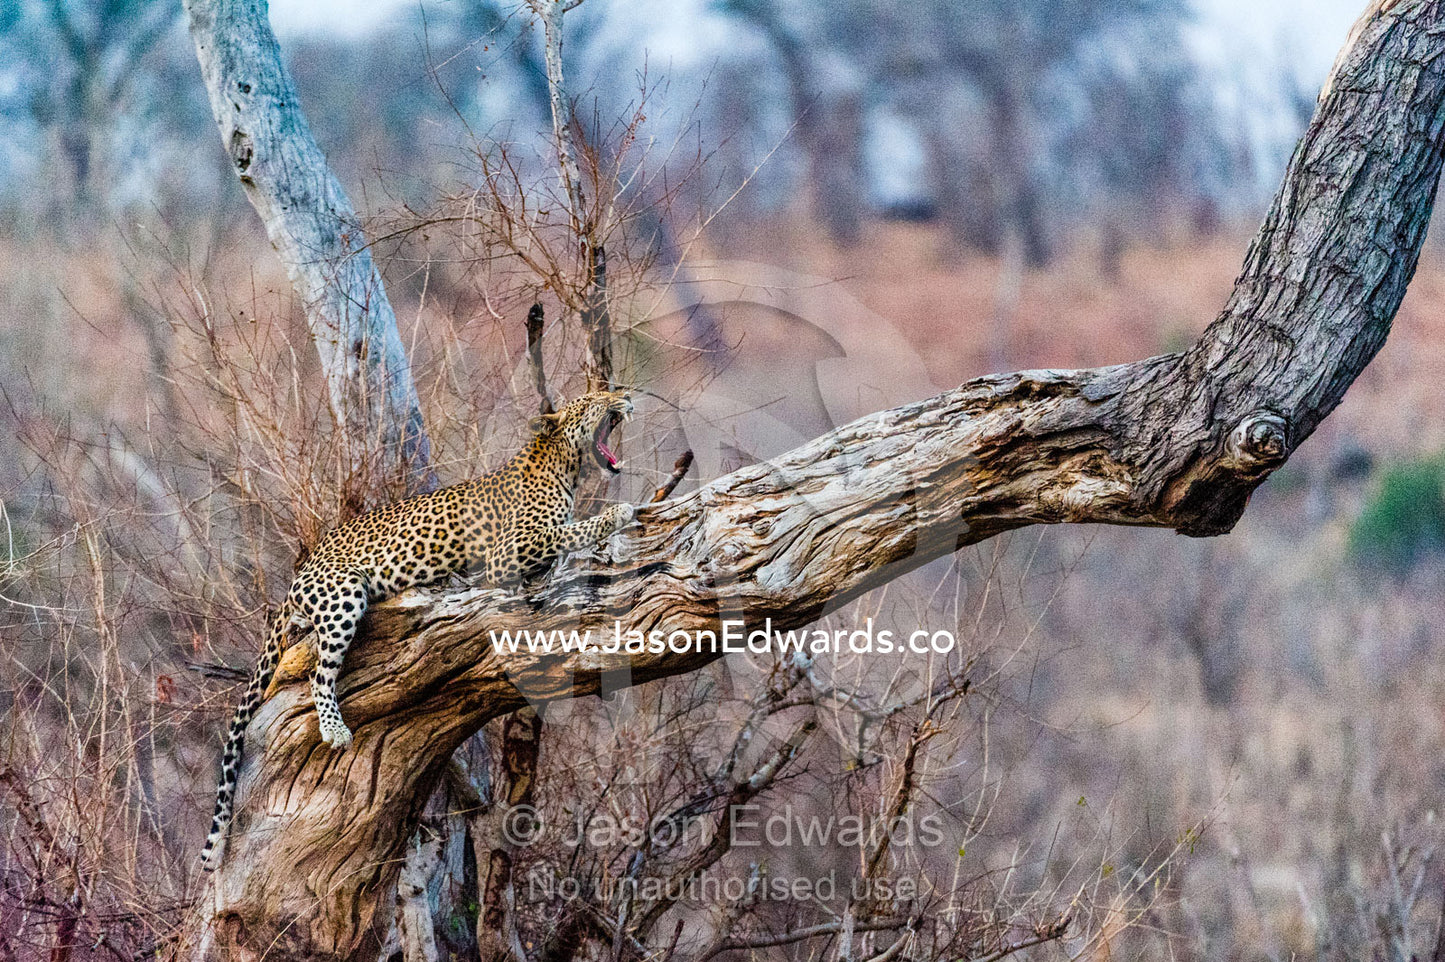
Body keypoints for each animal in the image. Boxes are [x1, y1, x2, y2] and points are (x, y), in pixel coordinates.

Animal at [199, 390, 636, 871]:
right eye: (594, 399)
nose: (625, 395)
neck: (564, 464)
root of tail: (298, 576)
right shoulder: (508, 552)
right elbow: (569, 530)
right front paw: (618, 512)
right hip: (344, 593)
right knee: (318, 671)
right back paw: (334, 730)